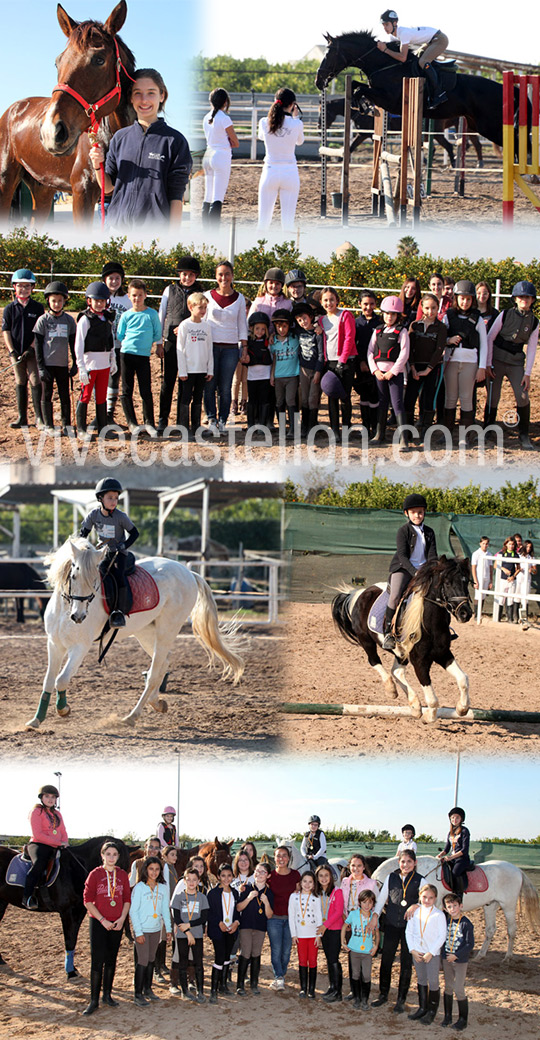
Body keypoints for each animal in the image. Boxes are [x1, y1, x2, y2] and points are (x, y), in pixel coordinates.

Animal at [0, 2, 136, 223]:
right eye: (58, 62)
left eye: (99, 60)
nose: (51, 132)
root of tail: (13, 108)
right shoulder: (82, 193)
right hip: (5, 182)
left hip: (43, 189)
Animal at [0, 836, 130, 973]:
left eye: (126, 866)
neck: (75, 869)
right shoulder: (67, 912)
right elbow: (69, 939)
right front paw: (70, 971)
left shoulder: (79, 911)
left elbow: (73, 939)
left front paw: (72, 968)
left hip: (2, 901)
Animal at [316, 31, 516, 148]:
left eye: (330, 54)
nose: (318, 81)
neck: (387, 65)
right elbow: (357, 86)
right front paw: (363, 106)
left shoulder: (388, 99)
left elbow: (360, 90)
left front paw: (365, 107)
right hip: (477, 124)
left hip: (490, 126)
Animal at [330, 561, 476, 723]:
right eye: (448, 583)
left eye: (466, 582)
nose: (465, 613)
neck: (431, 623)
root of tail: (358, 594)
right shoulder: (419, 661)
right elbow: (432, 697)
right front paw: (429, 717)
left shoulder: (442, 654)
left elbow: (463, 679)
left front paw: (462, 709)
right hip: (366, 640)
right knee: (374, 661)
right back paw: (392, 690)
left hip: (400, 653)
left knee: (396, 671)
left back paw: (415, 706)